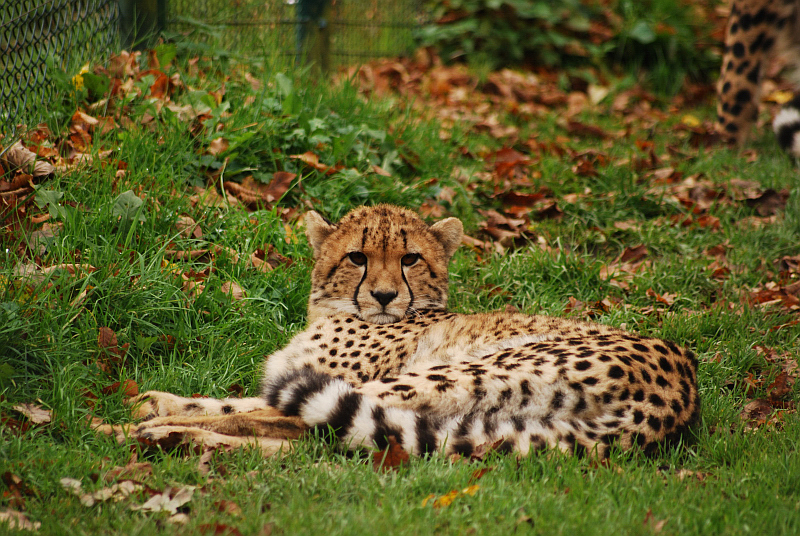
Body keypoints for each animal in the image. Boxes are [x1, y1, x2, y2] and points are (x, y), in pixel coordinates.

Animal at [111, 204, 700, 459]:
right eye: (357, 257)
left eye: (411, 259)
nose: (384, 295)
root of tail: (679, 400)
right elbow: (237, 398)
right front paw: (156, 401)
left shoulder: (336, 375)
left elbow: (255, 404)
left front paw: (151, 413)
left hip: (454, 372)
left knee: (303, 426)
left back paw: (139, 435)